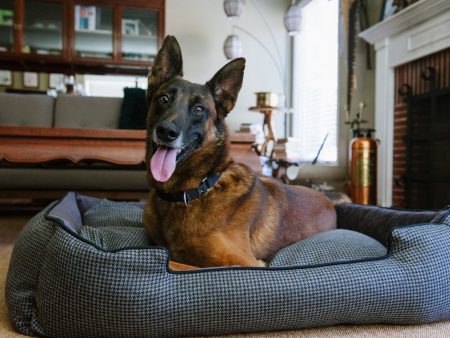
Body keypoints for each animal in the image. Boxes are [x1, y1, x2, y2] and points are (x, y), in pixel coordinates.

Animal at [142, 35, 336, 270]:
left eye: (198, 109)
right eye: (164, 99)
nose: (166, 132)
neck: (195, 190)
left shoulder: (245, 263)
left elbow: (175, 262)